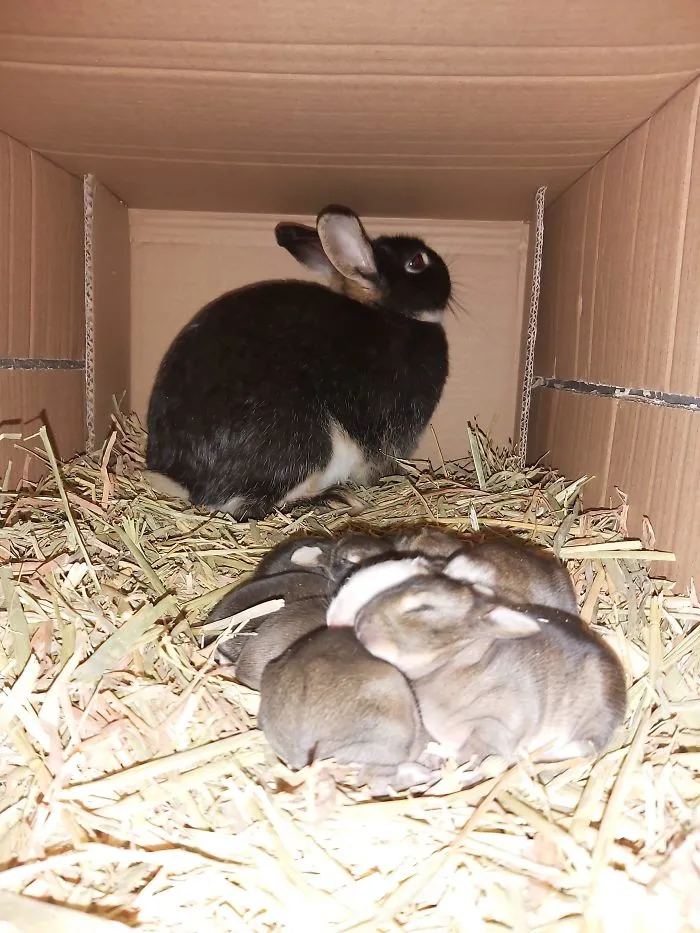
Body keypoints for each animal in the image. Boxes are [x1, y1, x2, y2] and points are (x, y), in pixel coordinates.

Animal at [145, 204, 451, 520]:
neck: (393, 314)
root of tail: (186, 482)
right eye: (416, 261)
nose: (448, 274)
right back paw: (334, 499)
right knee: (250, 506)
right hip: (306, 443)